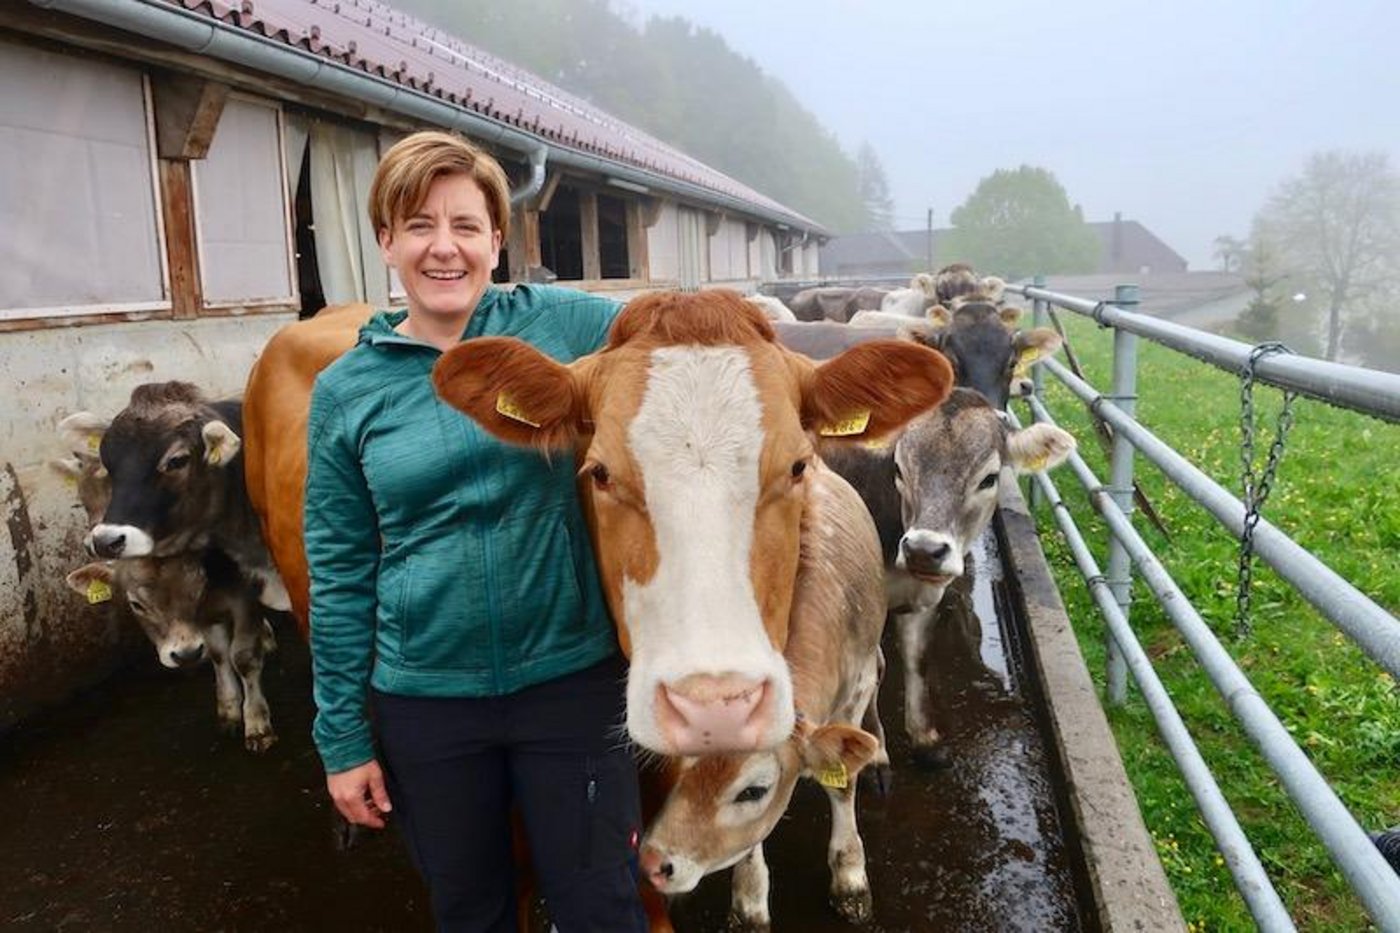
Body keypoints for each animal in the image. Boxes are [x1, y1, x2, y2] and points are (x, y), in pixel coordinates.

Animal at [65, 547, 278, 752]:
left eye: (198, 590)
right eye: (136, 604)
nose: (187, 655)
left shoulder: (243, 596)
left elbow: (243, 658)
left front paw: (257, 723)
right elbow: (219, 654)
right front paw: (229, 711)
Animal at [637, 458, 889, 930]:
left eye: (753, 791)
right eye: (682, 763)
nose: (653, 863)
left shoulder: (857, 686)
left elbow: (843, 786)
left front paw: (850, 876)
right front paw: (749, 900)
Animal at [822, 388, 1075, 764]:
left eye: (989, 478)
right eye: (898, 469)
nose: (923, 550)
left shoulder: (926, 597)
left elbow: (918, 658)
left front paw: (925, 740)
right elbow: (872, 671)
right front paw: (875, 753)